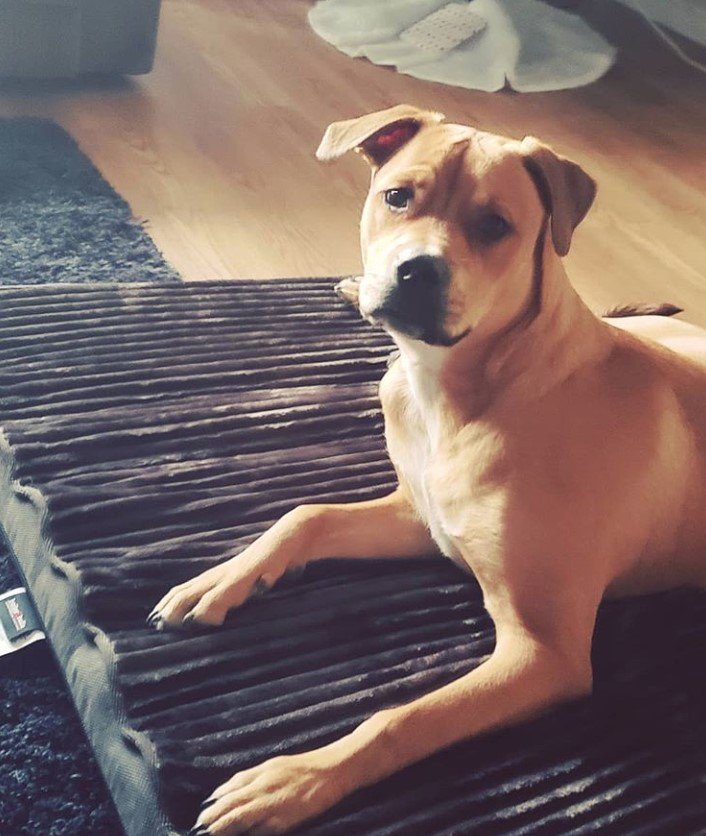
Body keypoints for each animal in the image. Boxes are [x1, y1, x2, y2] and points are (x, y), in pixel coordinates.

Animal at [150, 106, 704, 836]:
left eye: (494, 225)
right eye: (397, 197)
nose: (415, 271)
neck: (462, 390)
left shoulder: (542, 653)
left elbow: (401, 719)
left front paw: (292, 780)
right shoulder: (423, 519)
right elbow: (304, 515)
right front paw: (220, 579)